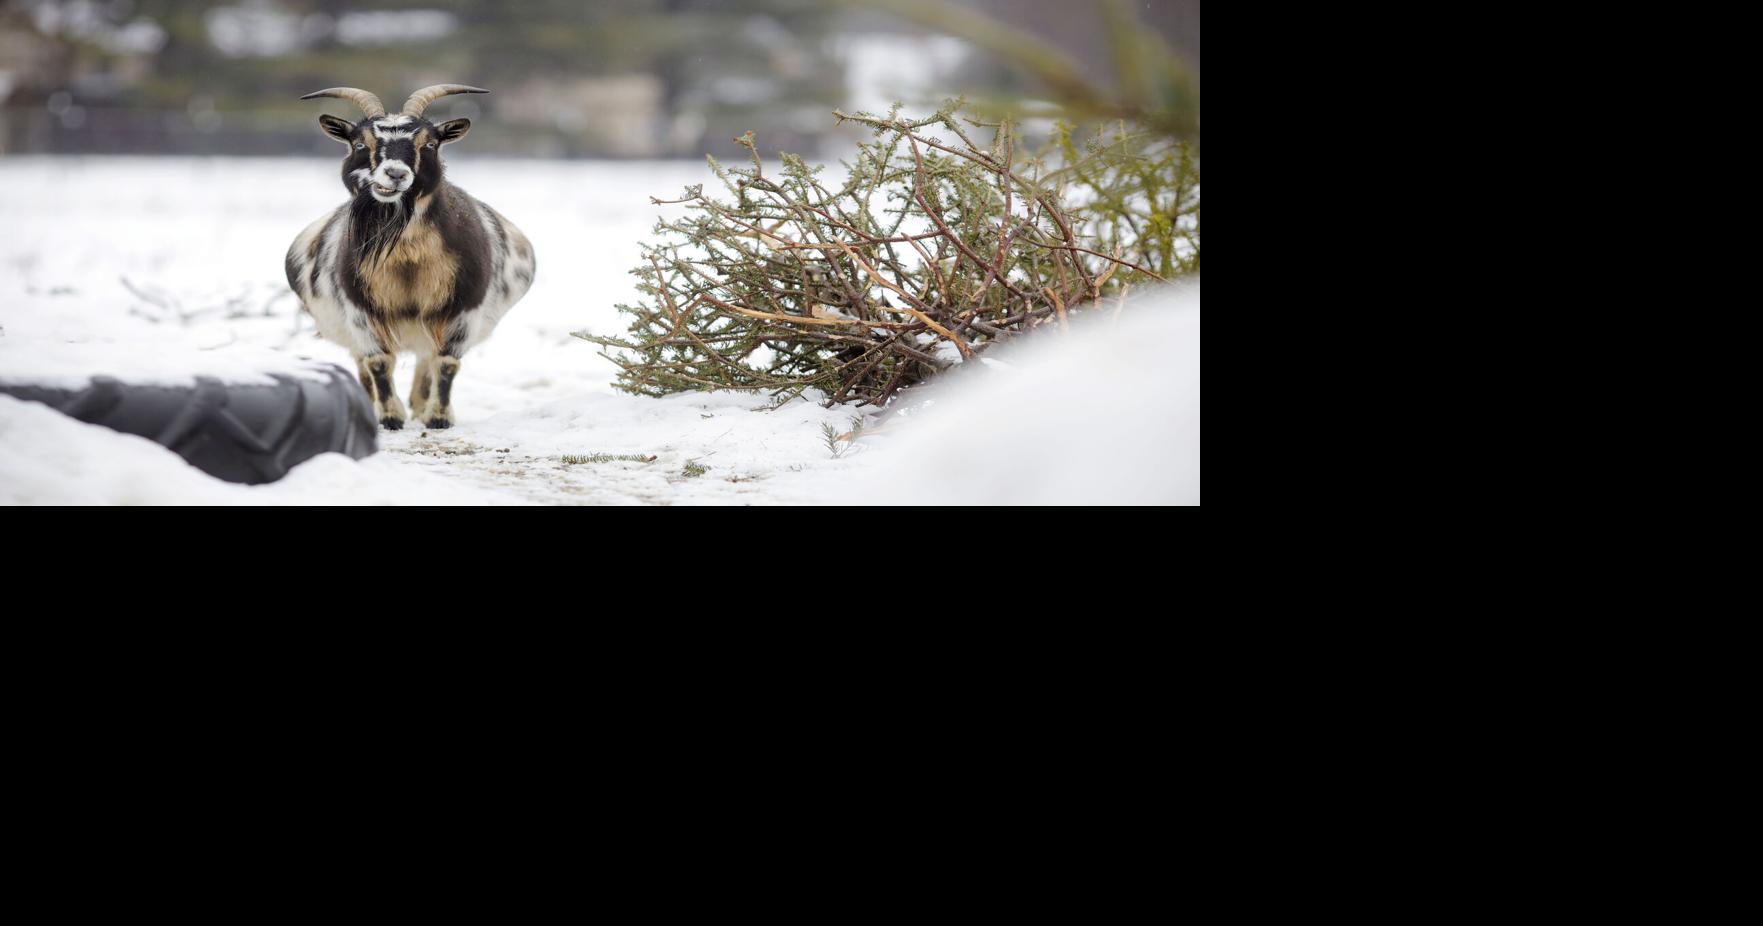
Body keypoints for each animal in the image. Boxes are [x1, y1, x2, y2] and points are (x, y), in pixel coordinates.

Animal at [285, 84, 535, 430]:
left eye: (429, 143)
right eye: (360, 143)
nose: (395, 174)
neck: (408, 261)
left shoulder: (465, 308)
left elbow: (446, 362)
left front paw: (438, 417)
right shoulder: (359, 308)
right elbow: (378, 362)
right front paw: (390, 417)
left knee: (426, 358)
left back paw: (419, 403)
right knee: (365, 365)